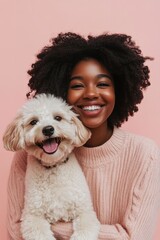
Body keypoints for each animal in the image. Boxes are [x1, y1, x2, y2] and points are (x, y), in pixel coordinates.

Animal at [3, 94, 99, 240]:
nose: (48, 129)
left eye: (58, 118)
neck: (53, 166)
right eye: (33, 122)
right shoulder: (32, 217)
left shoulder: (85, 212)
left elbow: (84, 230)